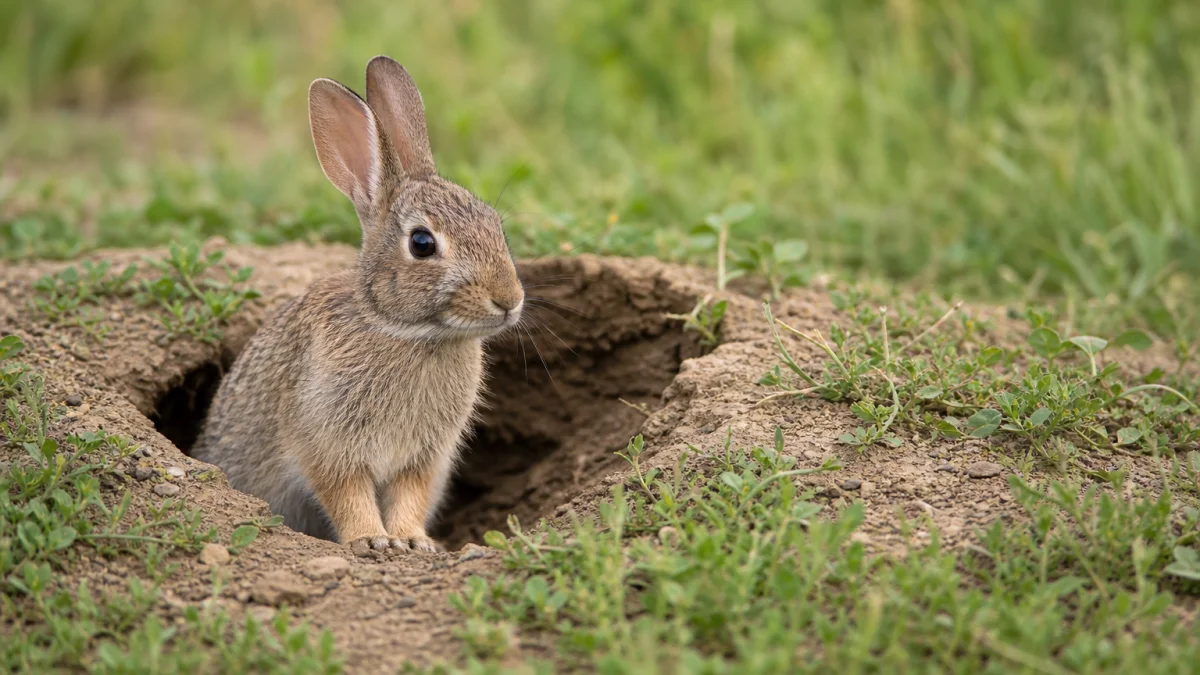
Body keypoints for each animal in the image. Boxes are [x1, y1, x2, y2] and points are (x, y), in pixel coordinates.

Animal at [191, 55, 524, 553]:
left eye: (495, 227)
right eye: (422, 243)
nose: (509, 300)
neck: (403, 330)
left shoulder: (422, 457)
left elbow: (409, 495)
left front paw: (413, 541)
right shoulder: (325, 440)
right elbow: (347, 492)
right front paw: (369, 540)